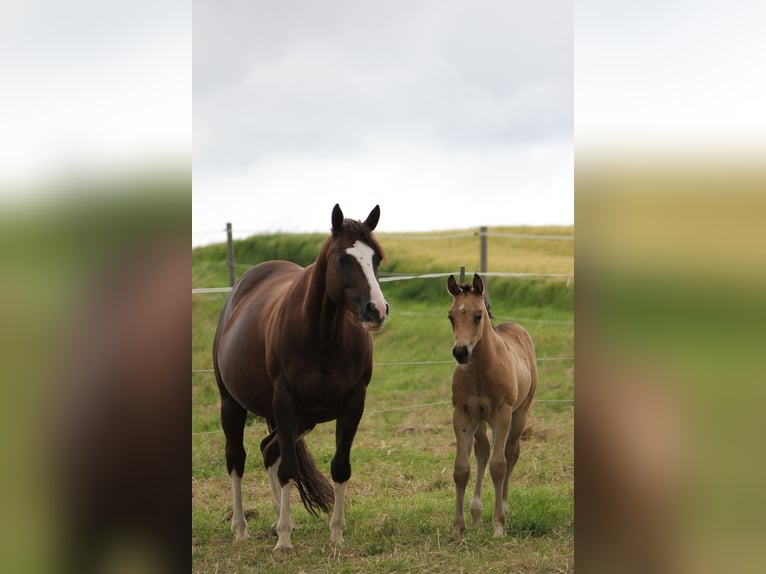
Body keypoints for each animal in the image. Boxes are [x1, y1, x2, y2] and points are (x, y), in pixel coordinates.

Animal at [213, 205, 390, 552]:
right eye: (343, 258)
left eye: (376, 258)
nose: (376, 310)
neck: (323, 336)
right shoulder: (285, 402)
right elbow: (289, 469)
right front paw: (284, 540)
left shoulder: (352, 404)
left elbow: (340, 467)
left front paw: (336, 535)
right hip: (233, 404)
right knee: (237, 459)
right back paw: (241, 528)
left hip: (304, 419)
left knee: (268, 450)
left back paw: (277, 520)